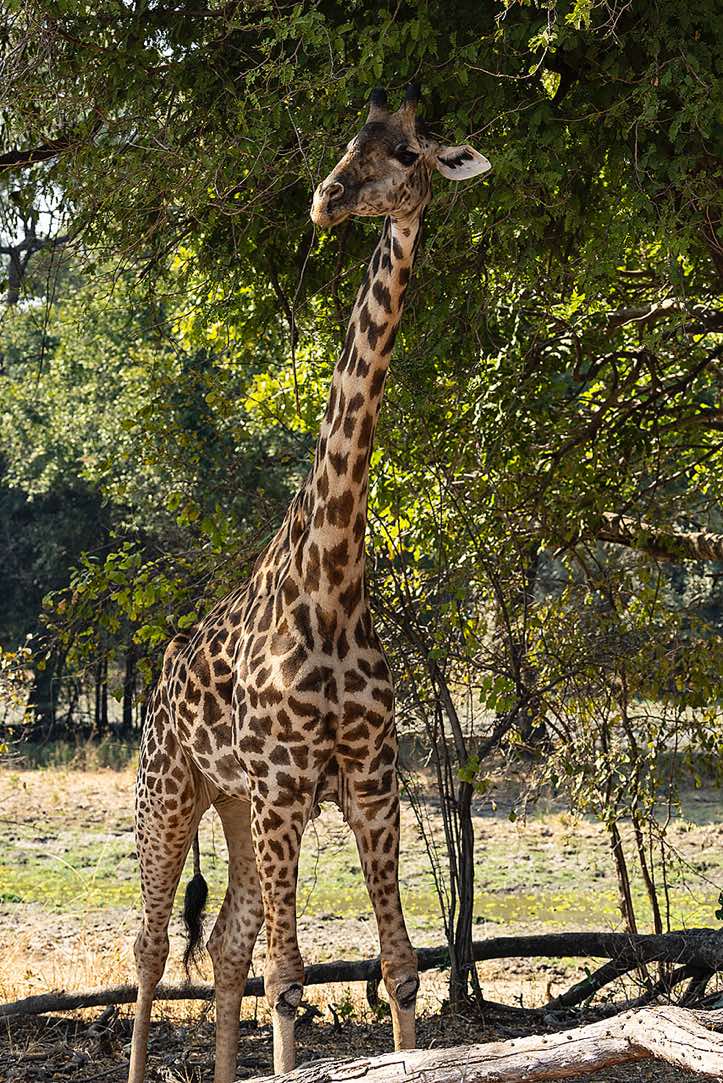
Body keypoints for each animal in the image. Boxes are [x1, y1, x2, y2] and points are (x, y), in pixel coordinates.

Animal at [128, 84, 491, 1083]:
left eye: (406, 153)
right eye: (346, 142)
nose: (327, 200)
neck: (331, 578)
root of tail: (157, 677)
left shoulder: (369, 779)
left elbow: (400, 967)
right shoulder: (289, 781)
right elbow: (291, 980)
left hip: (238, 806)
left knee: (224, 942)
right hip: (172, 788)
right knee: (149, 944)